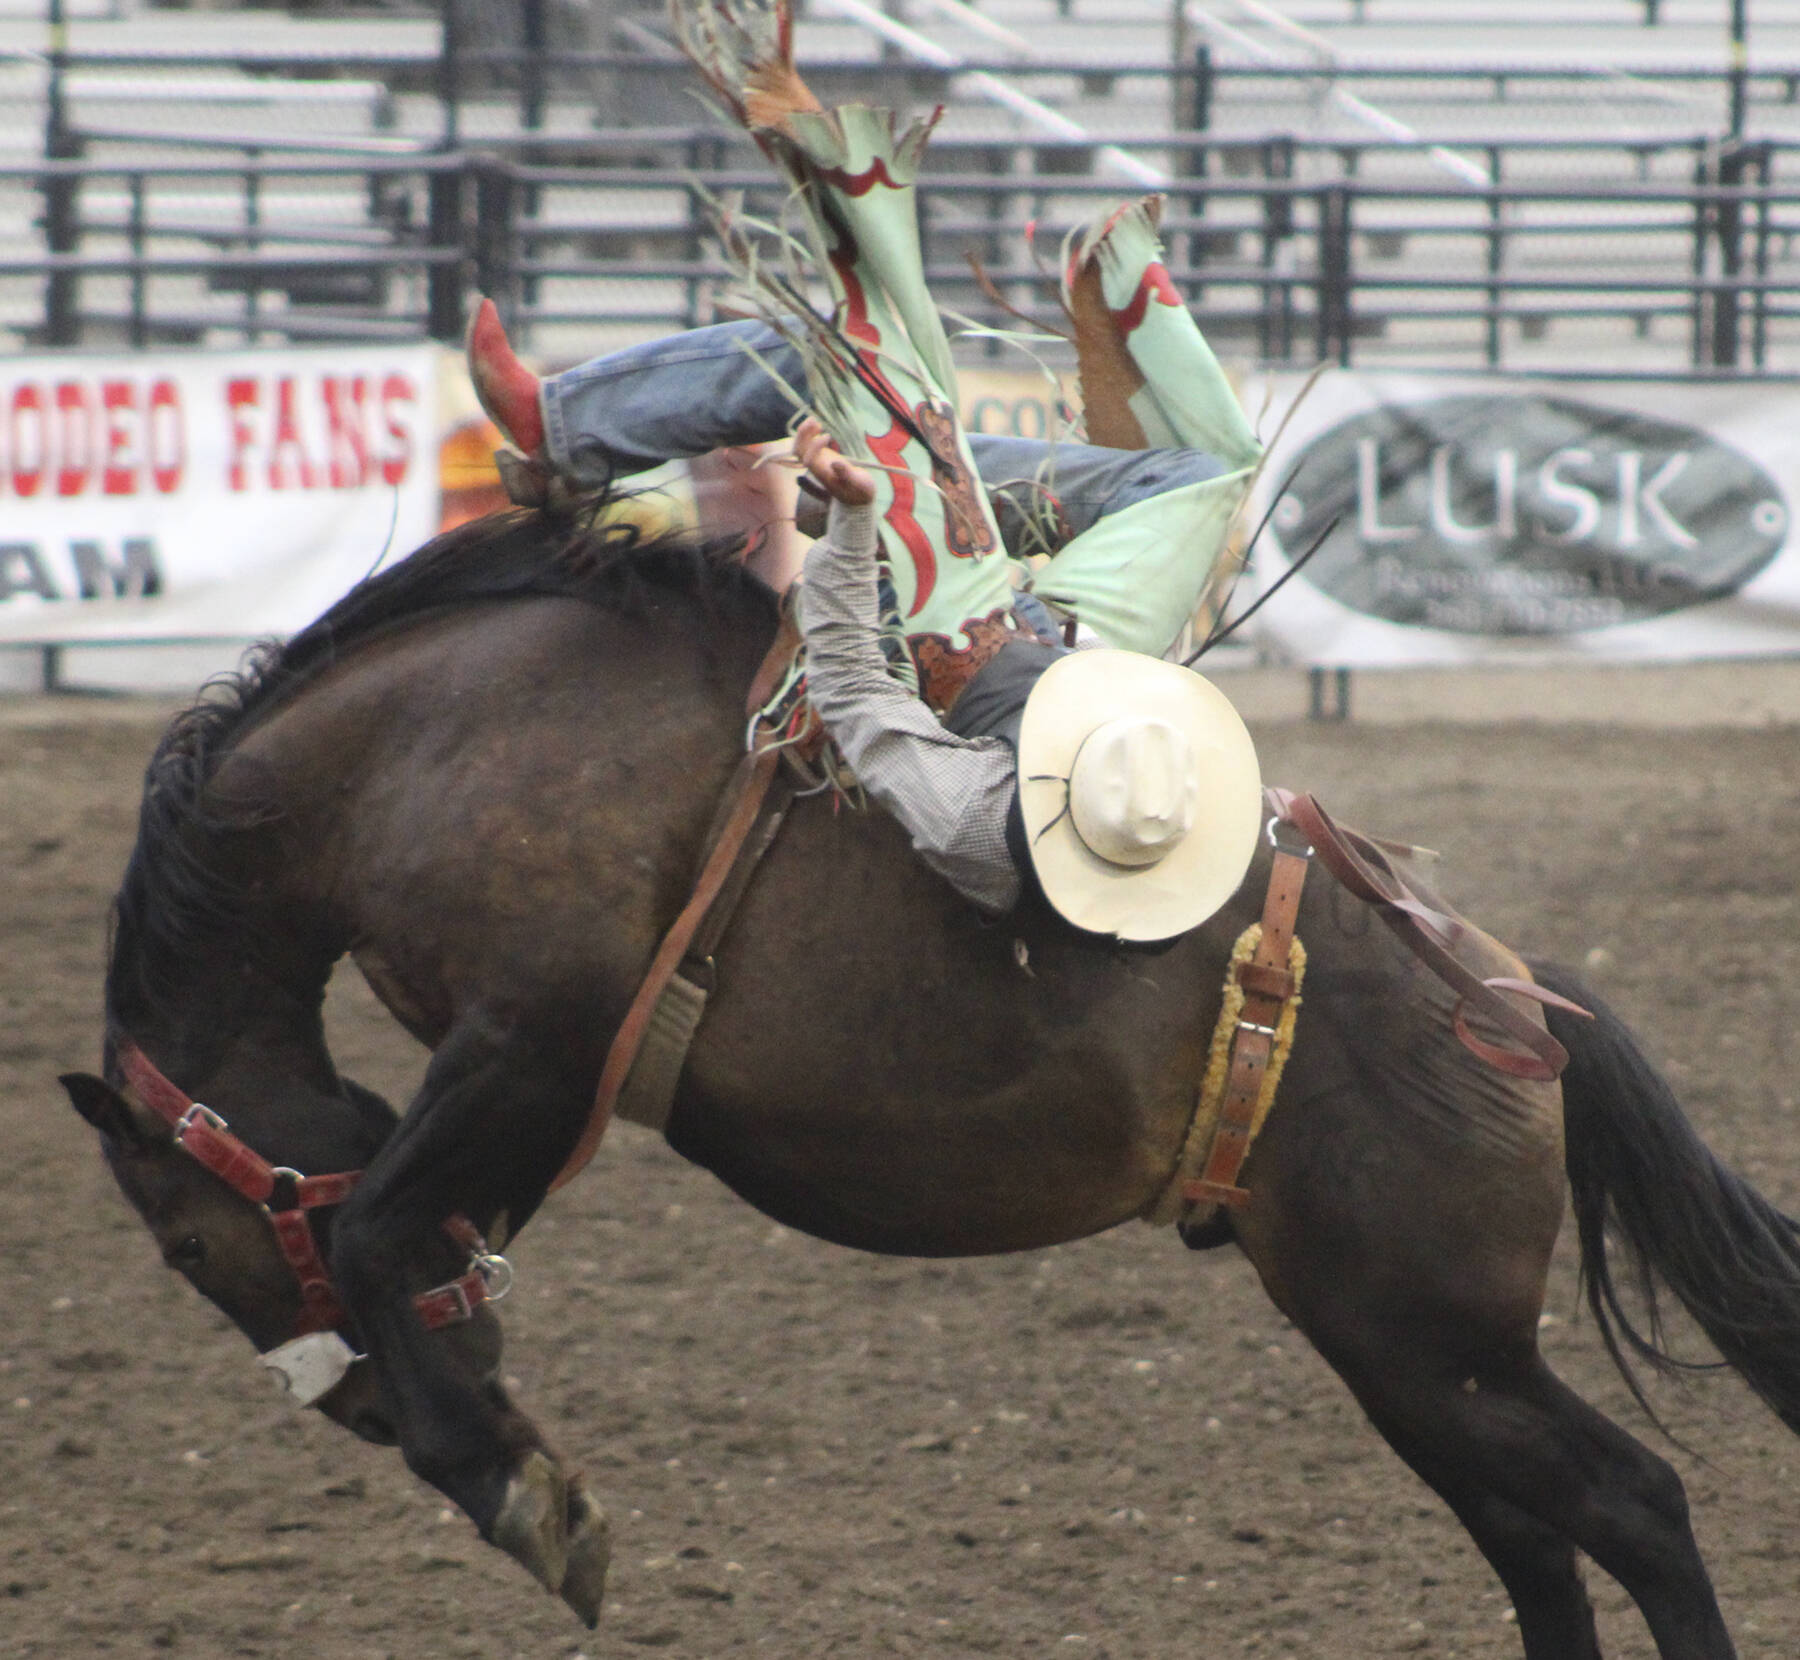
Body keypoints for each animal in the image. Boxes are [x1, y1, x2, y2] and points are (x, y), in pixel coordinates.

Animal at [63, 493, 1800, 1656]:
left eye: (193, 1248)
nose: (355, 1413)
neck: (426, 744)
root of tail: (1514, 996)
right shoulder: (516, 1089)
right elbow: (416, 1234)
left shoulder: (528, 1046)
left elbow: (370, 1232)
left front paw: (519, 1493)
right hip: (1402, 1347)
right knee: (1538, 1544)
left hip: (1429, 1330)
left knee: (1634, 1506)